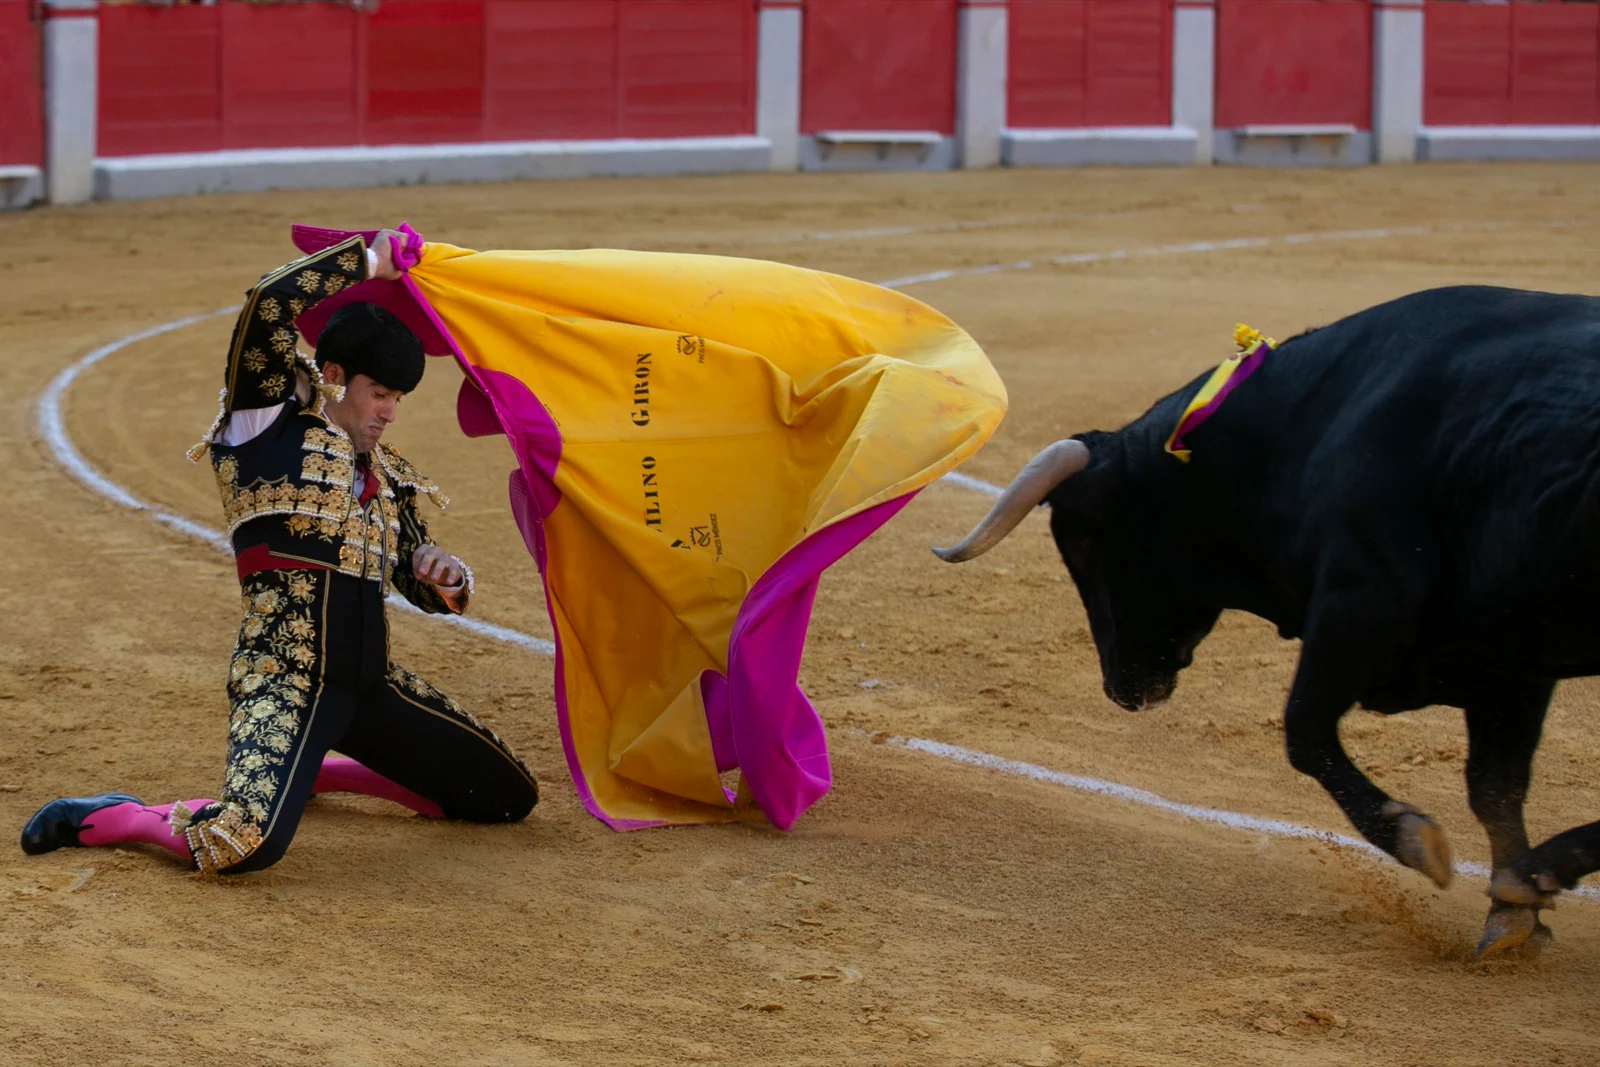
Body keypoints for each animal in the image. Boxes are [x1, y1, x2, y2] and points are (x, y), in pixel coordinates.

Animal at [934, 286, 1600, 959]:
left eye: (1084, 542)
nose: (1120, 690)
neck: (1308, 431)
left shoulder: (1356, 608)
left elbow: (1305, 733)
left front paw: (1424, 843)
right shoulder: (1511, 666)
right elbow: (1494, 786)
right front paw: (1513, 911)